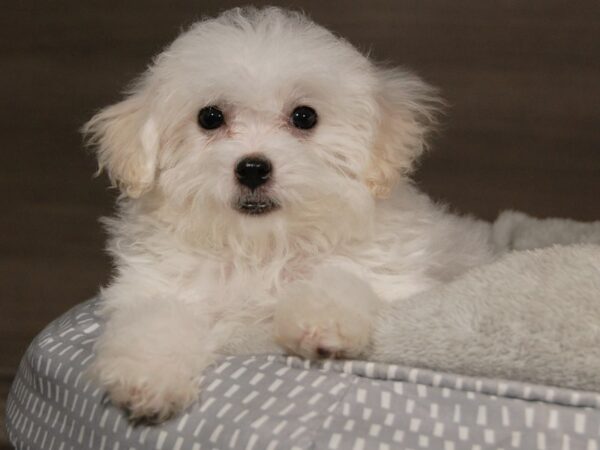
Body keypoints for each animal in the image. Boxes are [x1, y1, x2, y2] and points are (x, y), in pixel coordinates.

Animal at [84, 7, 496, 420]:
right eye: (210, 117)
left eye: (304, 117)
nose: (252, 168)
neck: (264, 246)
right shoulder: (157, 286)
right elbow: (155, 318)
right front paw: (146, 376)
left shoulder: (390, 277)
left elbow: (343, 279)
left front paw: (321, 322)